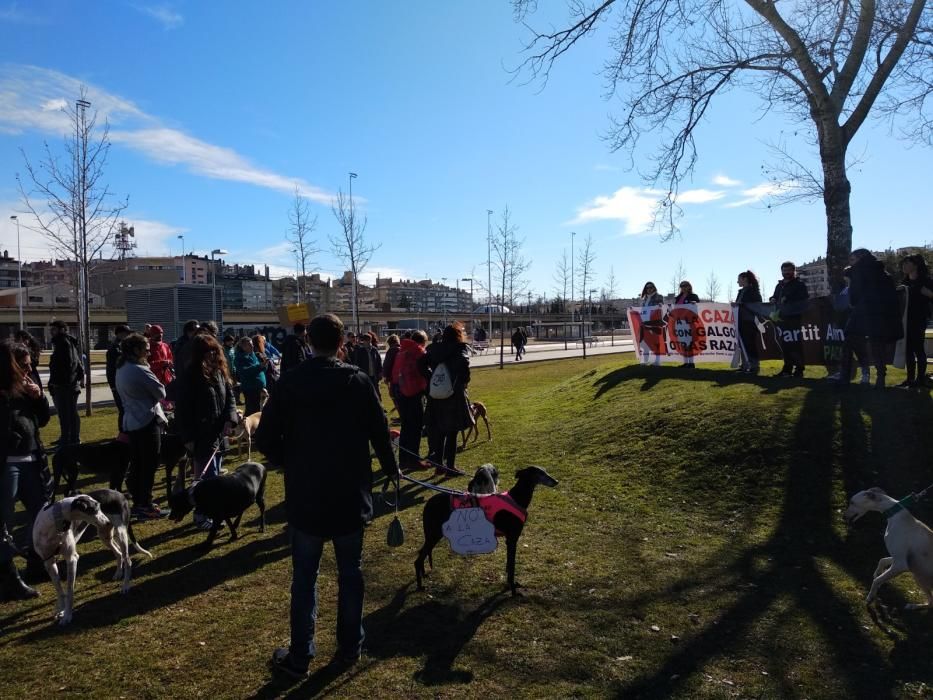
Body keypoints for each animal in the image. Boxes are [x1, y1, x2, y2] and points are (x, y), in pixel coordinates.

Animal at [31, 490, 151, 628]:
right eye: (95, 508)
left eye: (100, 506)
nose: (107, 522)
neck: (55, 524)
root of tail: (121, 494)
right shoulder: (48, 562)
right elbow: (59, 589)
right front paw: (61, 610)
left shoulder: (72, 559)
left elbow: (69, 590)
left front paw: (67, 616)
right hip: (105, 535)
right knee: (119, 553)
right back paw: (118, 574)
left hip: (120, 533)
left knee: (128, 560)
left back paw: (125, 586)